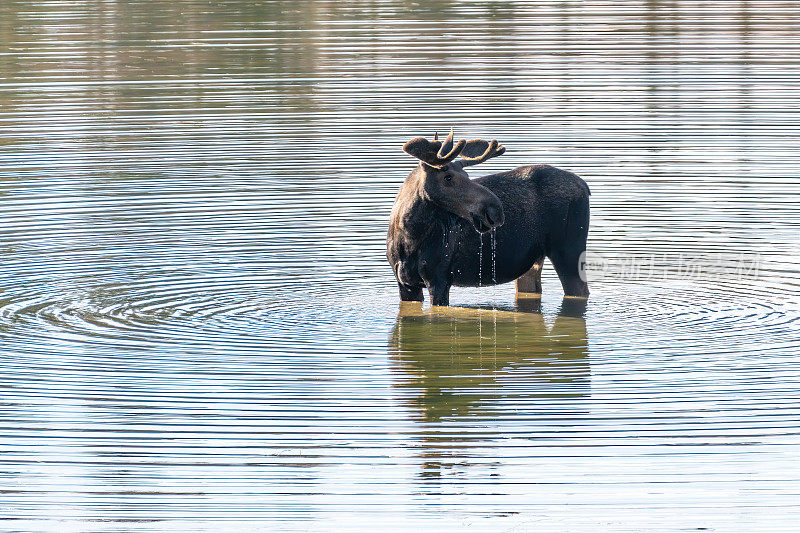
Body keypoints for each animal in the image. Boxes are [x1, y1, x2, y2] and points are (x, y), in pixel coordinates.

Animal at [388, 130, 588, 308]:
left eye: (467, 175)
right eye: (448, 177)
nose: (496, 210)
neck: (409, 237)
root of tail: (585, 186)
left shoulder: (440, 279)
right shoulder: (405, 284)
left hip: (569, 252)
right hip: (533, 262)